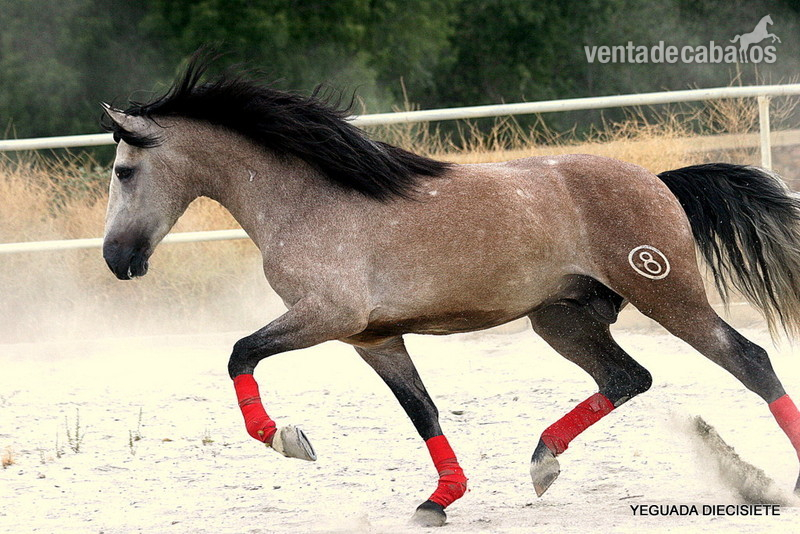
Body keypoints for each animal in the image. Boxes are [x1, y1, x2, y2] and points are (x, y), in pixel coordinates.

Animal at [101, 56, 800, 527]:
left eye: (124, 171)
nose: (116, 259)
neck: (307, 200)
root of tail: (660, 182)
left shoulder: (327, 316)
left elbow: (240, 353)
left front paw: (288, 441)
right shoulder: (373, 338)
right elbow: (423, 412)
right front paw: (439, 501)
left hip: (666, 294)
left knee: (748, 360)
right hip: (562, 319)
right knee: (627, 377)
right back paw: (544, 461)